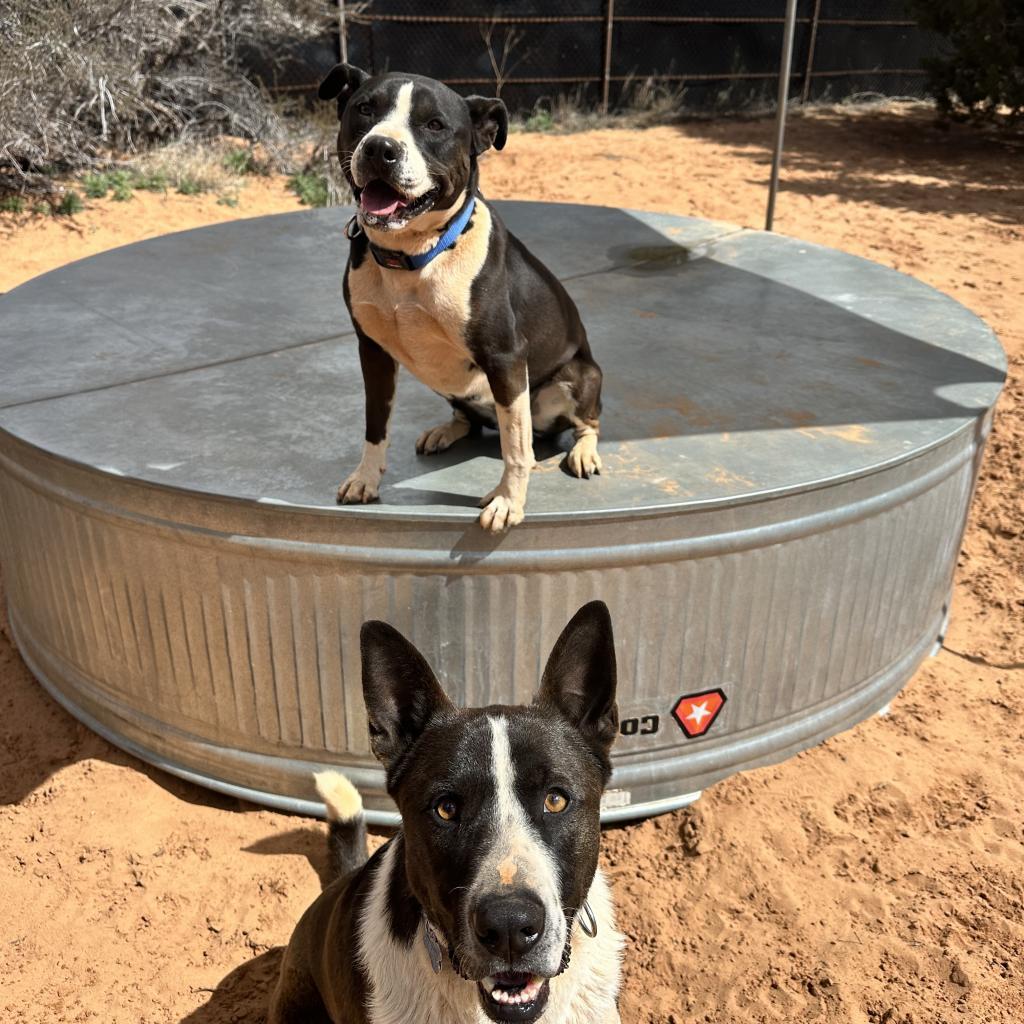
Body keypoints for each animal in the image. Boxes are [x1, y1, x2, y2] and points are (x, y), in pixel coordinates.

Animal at [319, 65, 602, 532]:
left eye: (434, 125)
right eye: (365, 109)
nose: (380, 147)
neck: (414, 256)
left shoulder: (506, 359)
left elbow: (516, 448)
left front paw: (507, 501)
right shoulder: (372, 351)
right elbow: (375, 424)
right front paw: (365, 478)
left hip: (577, 377)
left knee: (580, 422)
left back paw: (583, 451)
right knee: (469, 418)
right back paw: (446, 430)